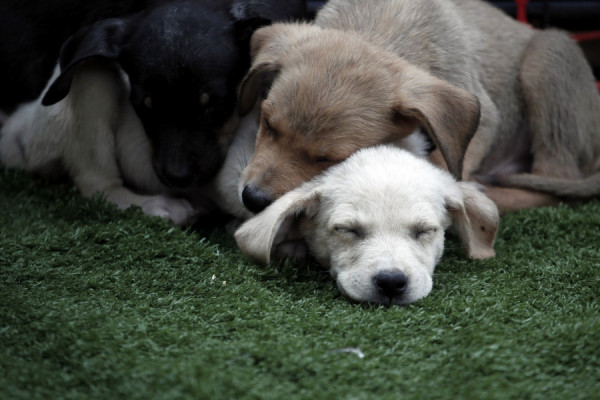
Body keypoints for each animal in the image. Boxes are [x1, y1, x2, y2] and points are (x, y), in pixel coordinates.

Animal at [238, 0, 600, 214]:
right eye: (267, 123)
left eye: (328, 160)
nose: (252, 199)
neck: (380, 26)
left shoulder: (483, 118)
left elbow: (447, 164)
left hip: (547, 55)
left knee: (554, 179)